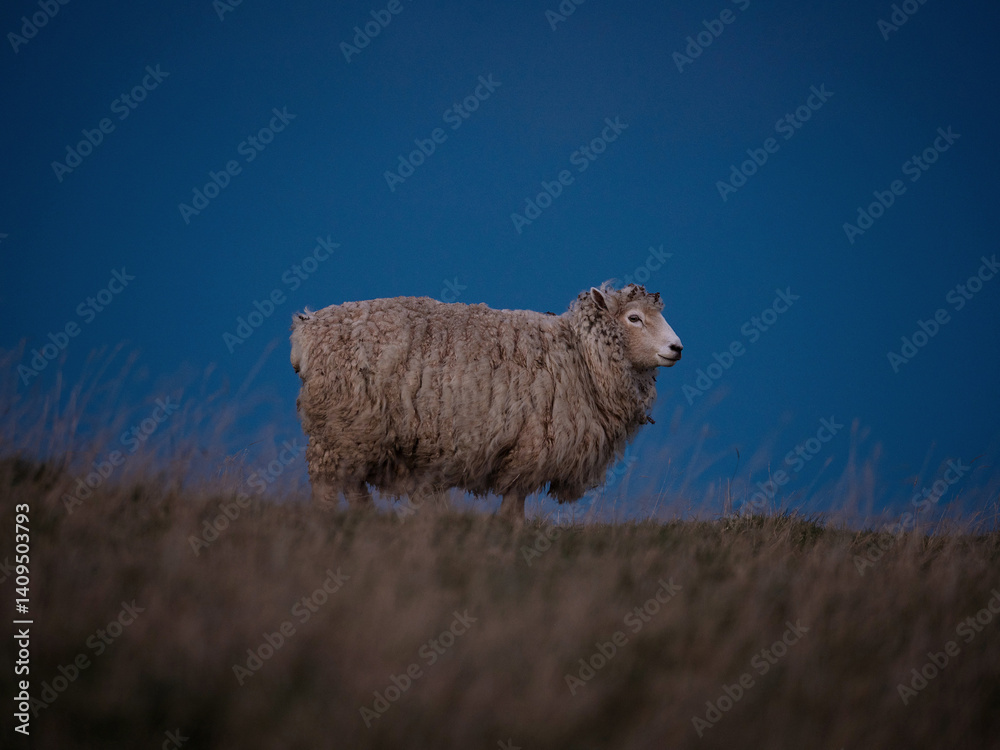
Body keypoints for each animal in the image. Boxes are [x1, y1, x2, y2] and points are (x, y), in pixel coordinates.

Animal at [289, 282, 682, 520]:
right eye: (634, 318)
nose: (677, 348)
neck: (582, 356)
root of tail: (308, 328)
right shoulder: (531, 448)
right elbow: (514, 507)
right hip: (343, 425)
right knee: (327, 487)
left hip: (353, 431)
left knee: (353, 484)